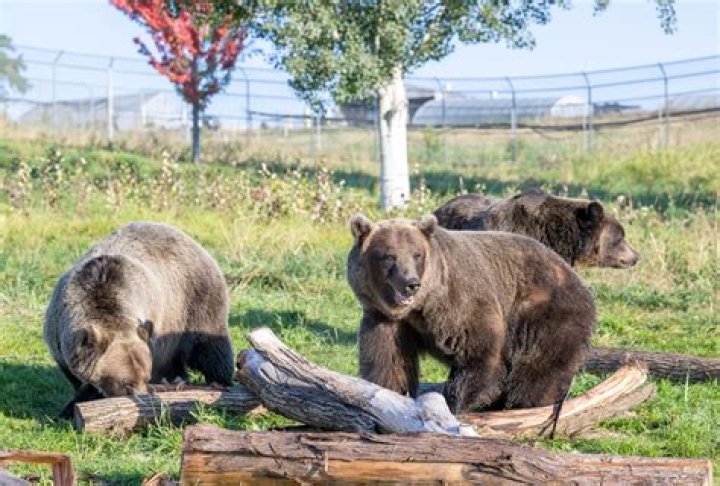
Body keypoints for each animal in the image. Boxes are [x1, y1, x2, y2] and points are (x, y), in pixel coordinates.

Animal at [44, 222, 234, 418]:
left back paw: (220, 382)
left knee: (210, 347)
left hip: (193, 302)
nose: (143, 398)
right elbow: (76, 377)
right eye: (126, 384)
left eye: (145, 377)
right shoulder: (60, 338)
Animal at [347, 213, 596, 427]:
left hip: (544, 311)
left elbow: (478, 355)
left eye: (417, 255)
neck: (421, 306)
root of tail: (576, 277)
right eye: (389, 256)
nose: (411, 283)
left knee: (537, 366)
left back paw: (523, 405)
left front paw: (454, 404)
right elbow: (390, 362)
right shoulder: (386, 319)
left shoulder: (460, 303)